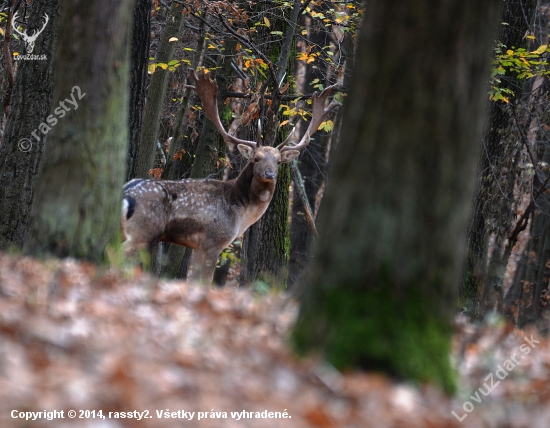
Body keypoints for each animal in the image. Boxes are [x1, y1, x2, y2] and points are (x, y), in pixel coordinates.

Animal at [122, 70, 340, 284]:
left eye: (278, 161)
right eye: (256, 159)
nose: (269, 174)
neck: (240, 213)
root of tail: (126, 194)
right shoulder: (213, 240)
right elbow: (202, 281)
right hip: (144, 231)